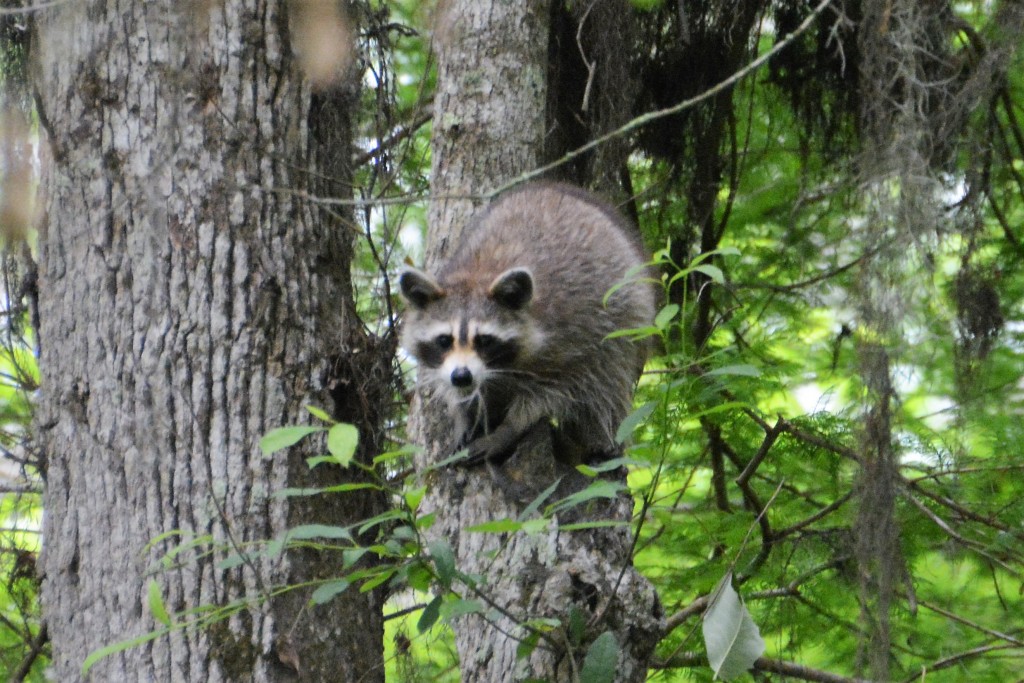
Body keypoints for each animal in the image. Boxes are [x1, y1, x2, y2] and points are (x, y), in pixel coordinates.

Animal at [399, 181, 655, 464]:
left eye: (484, 340)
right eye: (444, 340)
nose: (462, 376)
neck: (477, 276)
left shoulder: (571, 336)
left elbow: (554, 391)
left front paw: (510, 428)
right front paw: (467, 415)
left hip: (625, 316)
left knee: (608, 381)